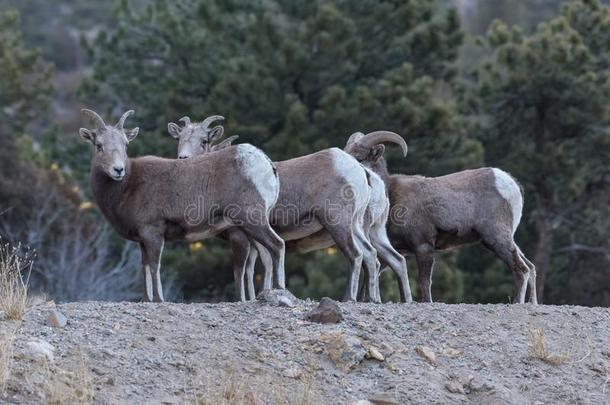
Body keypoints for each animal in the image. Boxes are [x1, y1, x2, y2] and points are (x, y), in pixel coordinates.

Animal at [78, 109, 282, 302]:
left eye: (125, 144)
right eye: (99, 145)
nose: (118, 170)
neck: (128, 185)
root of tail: (265, 163)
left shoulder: (153, 233)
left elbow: (154, 266)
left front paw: (158, 299)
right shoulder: (142, 240)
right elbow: (145, 267)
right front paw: (146, 300)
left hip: (252, 220)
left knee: (277, 245)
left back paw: (279, 290)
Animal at [167, 114, 376, 300]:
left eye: (204, 141)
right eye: (179, 139)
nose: (183, 158)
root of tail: (359, 171)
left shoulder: (240, 236)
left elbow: (241, 270)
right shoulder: (253, 240)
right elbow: (259, 266)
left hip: (338, 223)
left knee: (355, 255)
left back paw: (349, 298)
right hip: (355, 225)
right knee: (370, 254)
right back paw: (371, 299)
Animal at [342, 130, 536, 304]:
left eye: (359, 158)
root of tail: (511, 184)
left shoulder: (423, 247)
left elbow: (424, 282)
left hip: (496, 238)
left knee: (522, 270)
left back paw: (518, 303)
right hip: (506, 239)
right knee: (531, 267)